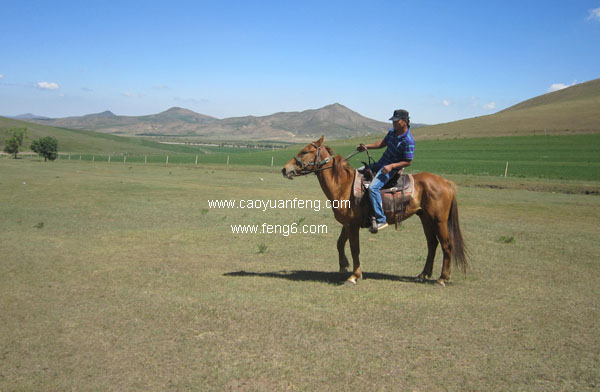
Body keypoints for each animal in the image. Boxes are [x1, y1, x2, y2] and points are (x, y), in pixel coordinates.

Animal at [282, 136, 468, 286]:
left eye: (305, 151)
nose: (285, 169)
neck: (343, 185)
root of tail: (446, 182)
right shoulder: (347, 224)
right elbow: (340, 243)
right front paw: (343, 266)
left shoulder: (352, 225)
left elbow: (354, 248)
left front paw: (354, 276)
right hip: (425, 218)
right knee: (432, 244)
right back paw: (422, 275)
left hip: (439, 220)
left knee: (446, 245)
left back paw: (442, 278)